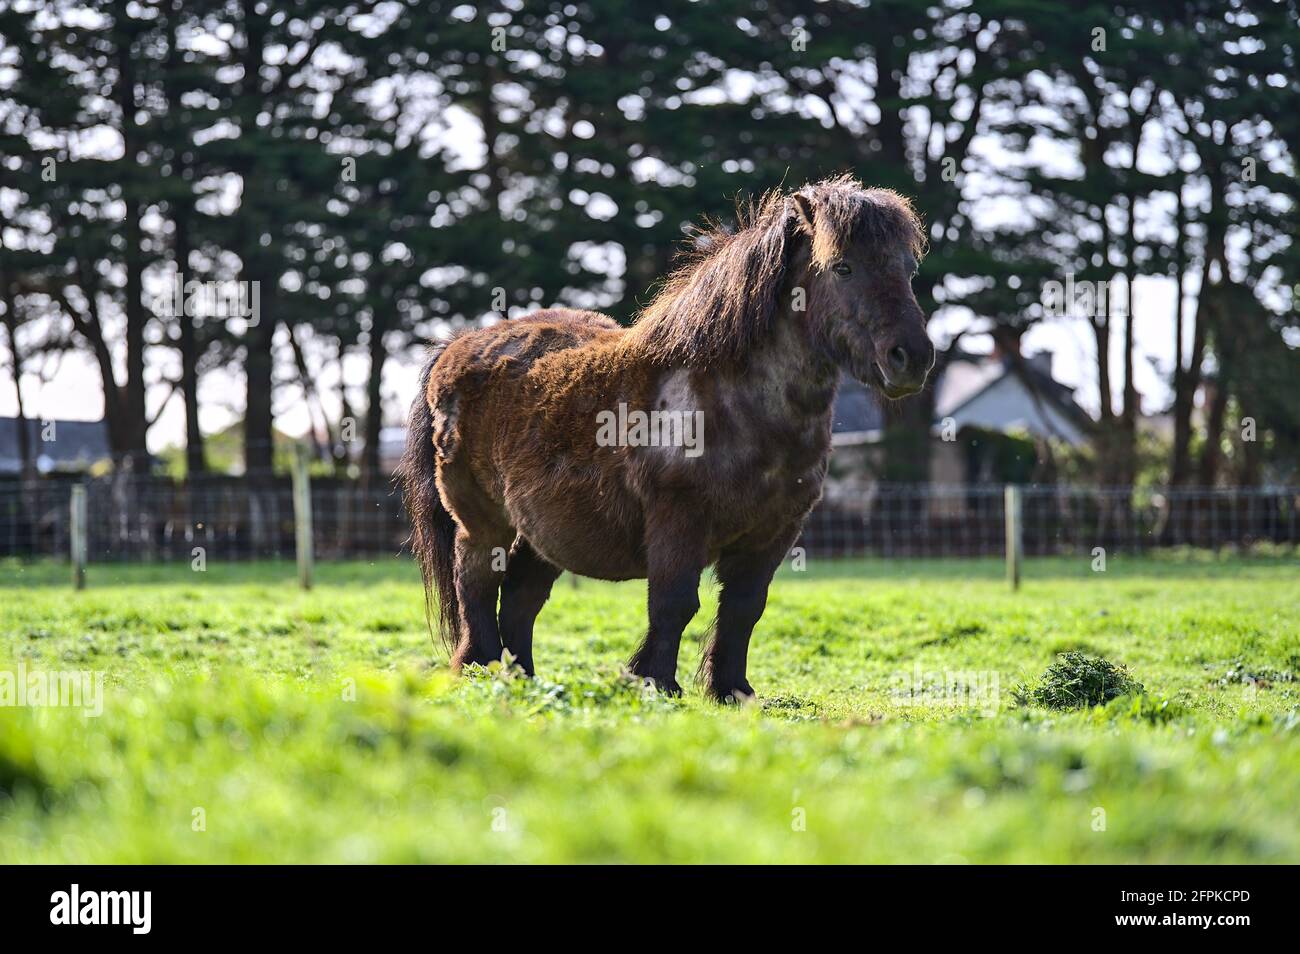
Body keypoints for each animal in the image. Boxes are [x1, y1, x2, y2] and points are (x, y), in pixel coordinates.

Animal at [399, 174, 934, 701]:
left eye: (908, 269)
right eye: (842, 267)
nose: (911, 357)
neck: (734, 403)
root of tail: (457, 346)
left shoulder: (775, 533)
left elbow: (744, 608)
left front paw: (731, 690)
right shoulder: (679, 521)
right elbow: (674, 604)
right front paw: (656, 682)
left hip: (540, 531)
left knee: (520, 599)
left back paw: (524, 679)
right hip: (483, 523)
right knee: (476, 584)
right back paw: (480, 668)